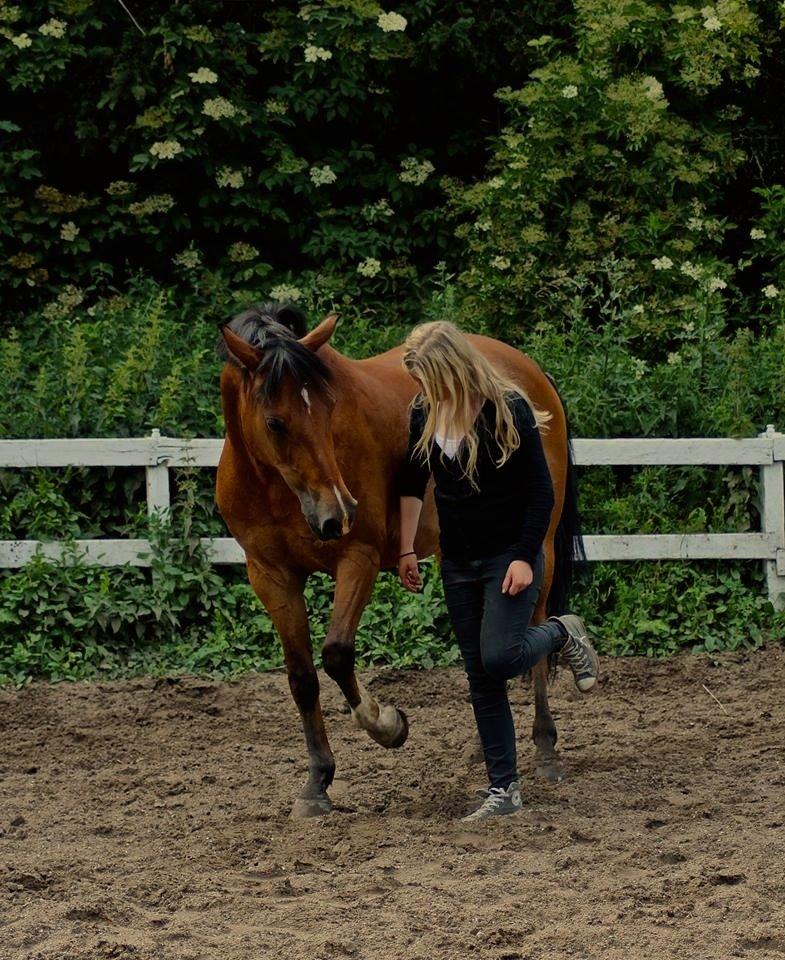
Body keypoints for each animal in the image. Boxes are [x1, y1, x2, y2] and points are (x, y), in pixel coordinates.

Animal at [214, 304, 580, 812]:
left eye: (329, 409)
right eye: (274, 422)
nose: (338, 514)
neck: (273, 487)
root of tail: (529, 371)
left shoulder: (358, 560)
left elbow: (337, 655)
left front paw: (387, 725)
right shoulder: (271, 576)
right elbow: (302, 677)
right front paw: (317, 782)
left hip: (535, 551)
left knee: (539, 632)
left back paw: (546, 746)